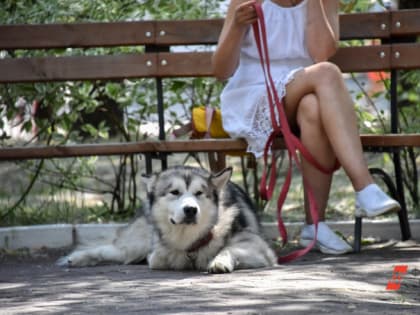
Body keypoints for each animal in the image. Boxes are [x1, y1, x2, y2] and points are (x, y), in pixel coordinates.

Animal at [57, 167, 278, 272]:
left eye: (199, 193)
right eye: (175, 192)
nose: (190, 210)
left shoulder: (258, 247)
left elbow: (227, 249)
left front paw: (218, 261)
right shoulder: (157, 254)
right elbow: (158, 258)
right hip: (138, 243)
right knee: (113, 250)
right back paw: (77, 258)